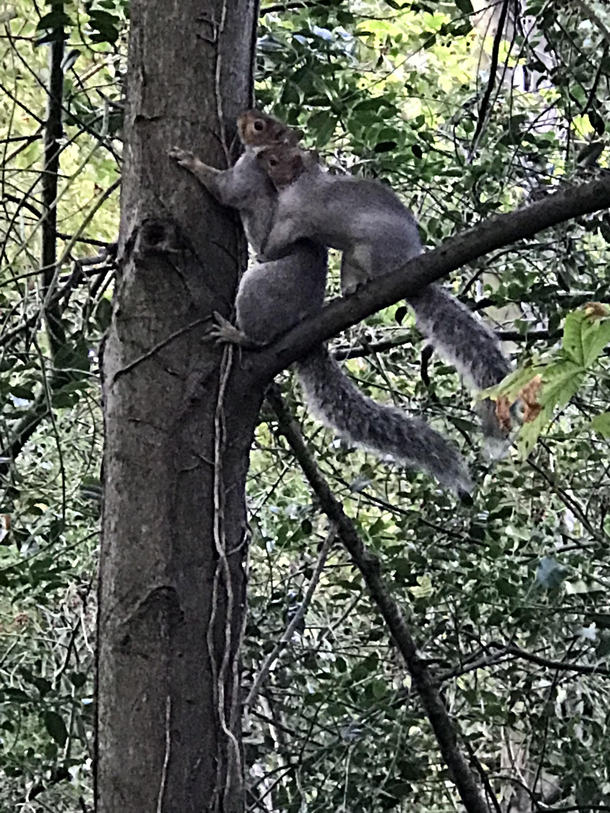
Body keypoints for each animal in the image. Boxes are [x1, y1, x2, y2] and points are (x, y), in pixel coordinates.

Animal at [169, 109, 472, 494]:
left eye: (260, 126)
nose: (242, 116)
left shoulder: (246, 178)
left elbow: (223, 189)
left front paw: (189, 161)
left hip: (259, 290)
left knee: (259, 338)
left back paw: (235, 333)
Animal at [256, 146, 512, 448]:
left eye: (275, 160)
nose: (258, 156)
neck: (304, 179)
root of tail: (408, 263)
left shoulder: (294, 214)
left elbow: (274, 245)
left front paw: (260, 250)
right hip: (351, 259)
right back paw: (348, 291)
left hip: (373, 250)